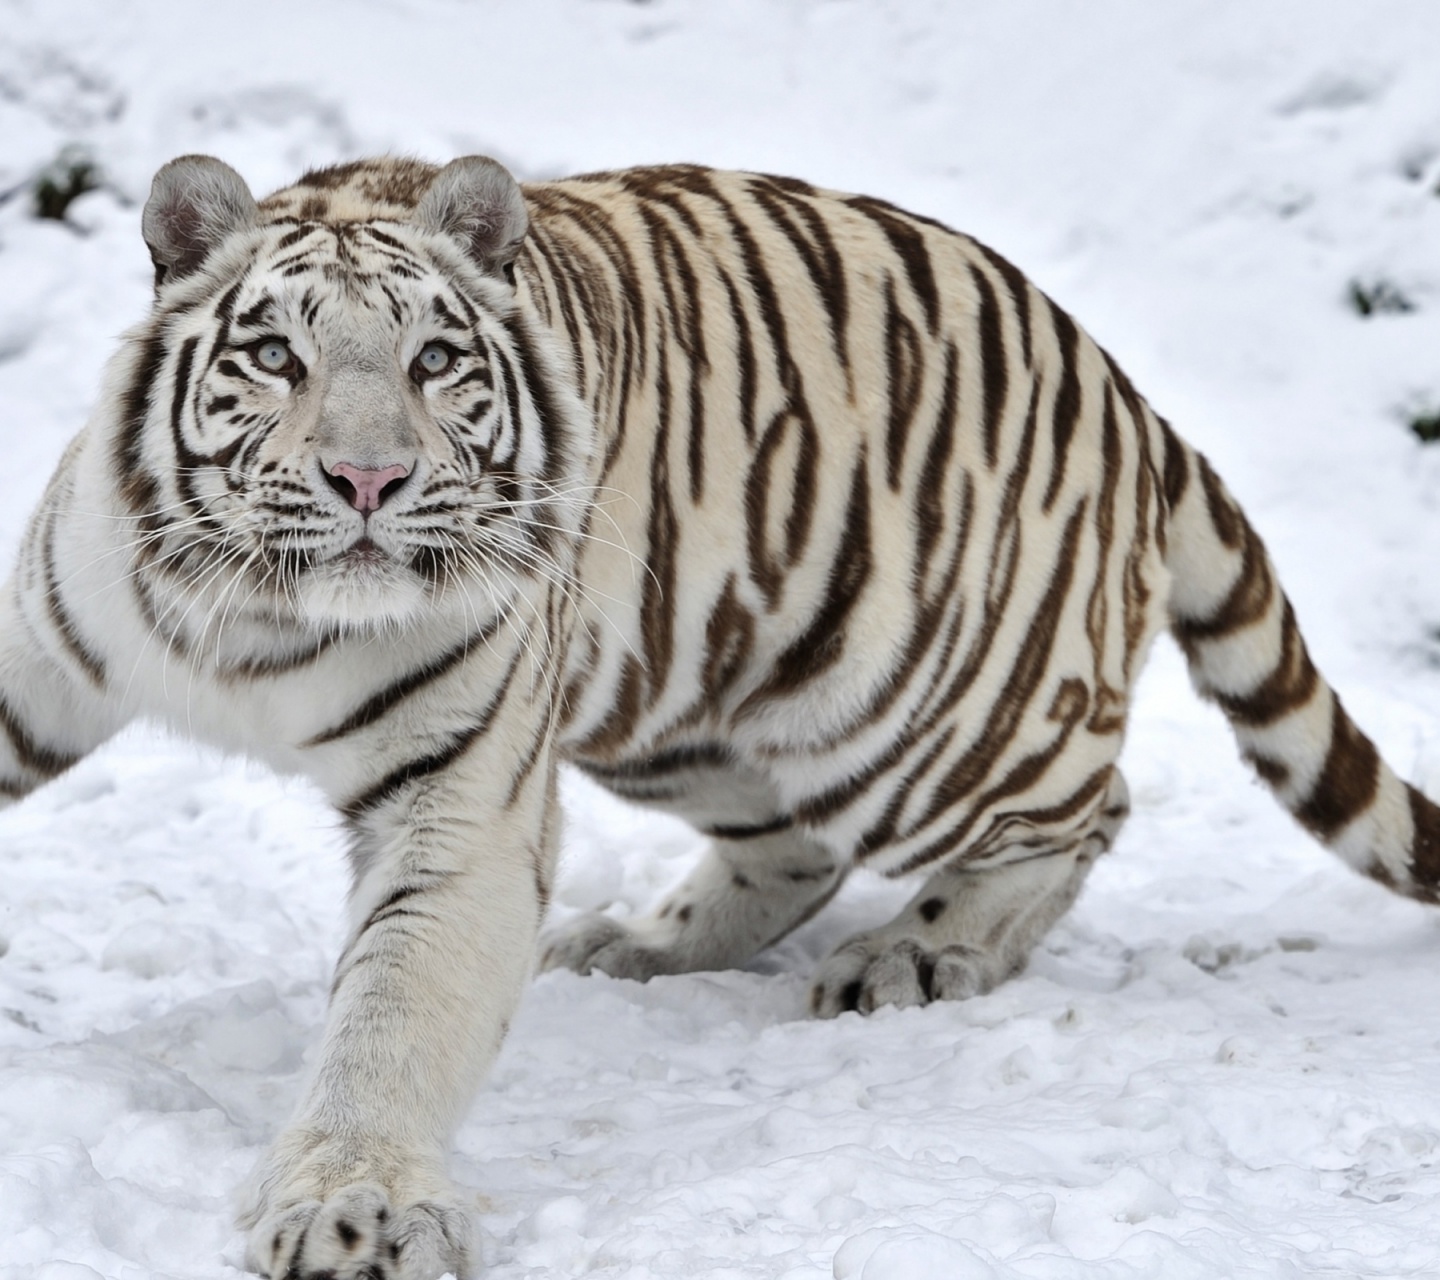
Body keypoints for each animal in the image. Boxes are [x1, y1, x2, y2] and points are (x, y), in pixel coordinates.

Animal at [5, 152, 1434, 1278]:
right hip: (683, 706)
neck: (261, 619)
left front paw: (353, 1208)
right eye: (275, 356)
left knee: (1086, 806)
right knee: (792, 846)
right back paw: (640, 942)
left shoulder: (460, 805)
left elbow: (390, 1019)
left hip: (917, 716)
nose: (369, 478)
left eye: (433, 360)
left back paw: (916, 954)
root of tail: (1133, 395)